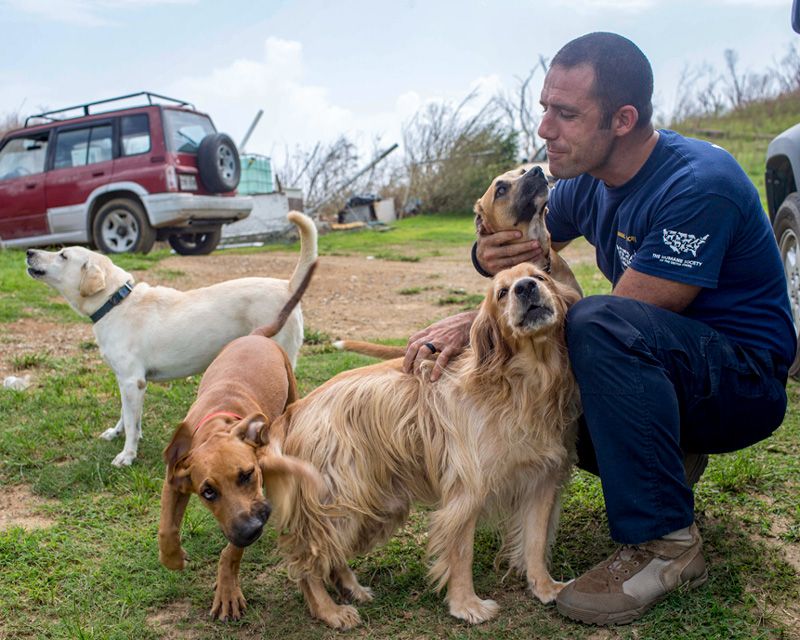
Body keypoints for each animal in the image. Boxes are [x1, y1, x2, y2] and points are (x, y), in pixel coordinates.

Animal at [25, 210, 318, 464]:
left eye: (62, 255)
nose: (28, 252)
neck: (116, 302)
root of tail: (287, 286)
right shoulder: (127, 382)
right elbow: (126, 415)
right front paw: (117, 433)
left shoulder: (132, 381)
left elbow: (131, 422)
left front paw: (127, 455)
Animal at [158, 260, 324, 620]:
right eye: (207, 492)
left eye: (247, 475)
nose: (250, 531)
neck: (216, 426)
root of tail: (255, 336)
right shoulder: (175, 480)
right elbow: (166, 529)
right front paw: (173, 557)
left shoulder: (256, 501)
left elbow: (231, 552)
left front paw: (227, 591)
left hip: (291, 389)